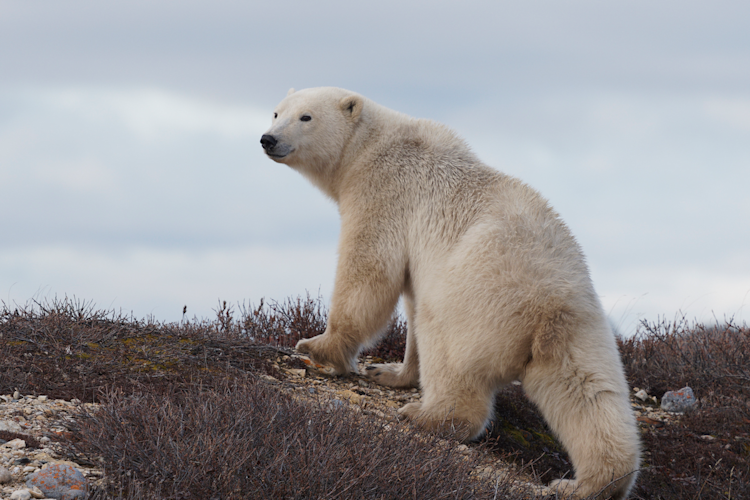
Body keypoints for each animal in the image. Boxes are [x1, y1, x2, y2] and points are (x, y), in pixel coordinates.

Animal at [260, 87, 640, 499]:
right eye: (277, 112)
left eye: (306, 117)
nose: (268, 139)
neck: (370, 145)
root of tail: (545, 307)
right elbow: (408, 298)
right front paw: (390, 371)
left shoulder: (385, 191)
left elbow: (369, 268)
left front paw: (319, 347)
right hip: (582, 328)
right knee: (589, 394)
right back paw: (590, 482)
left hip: (473, 302)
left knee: (447, 350)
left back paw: (428, 416)